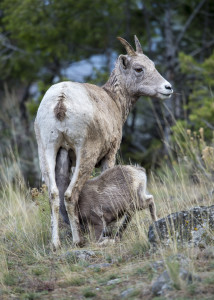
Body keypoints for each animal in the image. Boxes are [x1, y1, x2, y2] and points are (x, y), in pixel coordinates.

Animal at [34, 35, 173, 251]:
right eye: (138, 68)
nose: (168, 88)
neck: (114, 101)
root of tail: (61, 102)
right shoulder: (110, 153)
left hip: (47, 149)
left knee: (54, 193)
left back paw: (56, 244)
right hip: (85, 153)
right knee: (70, 194)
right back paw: (78, 241)